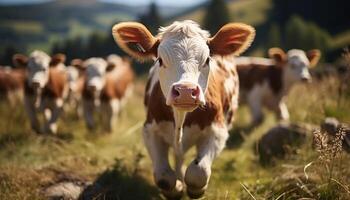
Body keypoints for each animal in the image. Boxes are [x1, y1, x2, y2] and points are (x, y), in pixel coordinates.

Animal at [112, 19, 254, 198]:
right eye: (160, 60)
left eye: (207, 60)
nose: (186, 91)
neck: (181, 117)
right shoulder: (149, 130)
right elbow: (164, 177)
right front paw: (177, 188)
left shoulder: (218, 130)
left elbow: (198, 172)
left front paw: (196, 190)